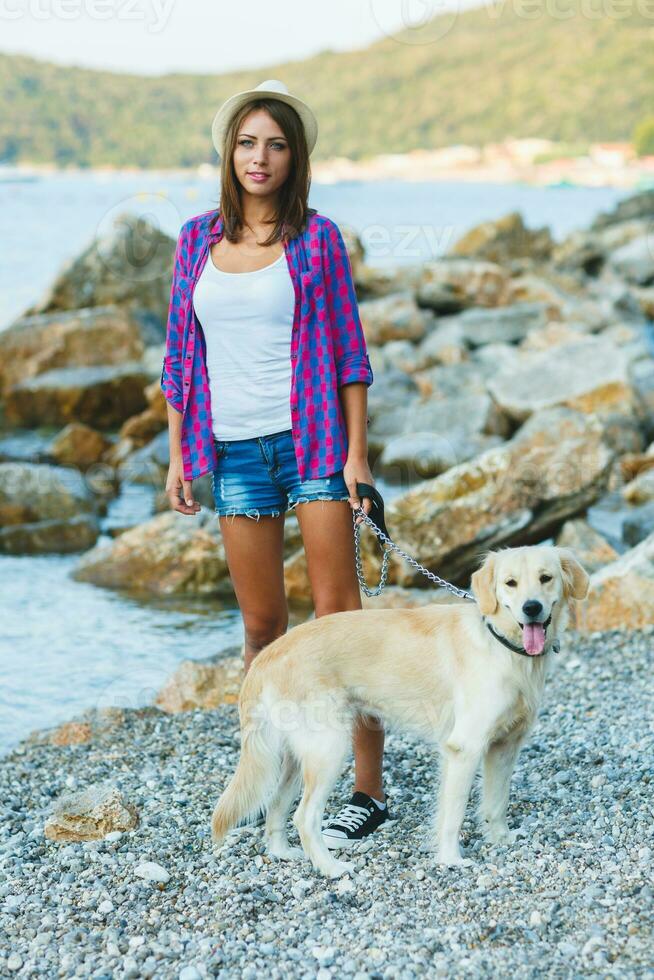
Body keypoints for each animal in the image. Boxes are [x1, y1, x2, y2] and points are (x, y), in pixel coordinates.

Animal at [213, 544, 592, 880]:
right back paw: (330, 868)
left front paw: (500, 838)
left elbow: (495, 802)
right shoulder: (465, 748)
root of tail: (268, 655)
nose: (532, 608)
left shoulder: (504, 746)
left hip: (296, 756)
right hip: (329, 748)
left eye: (545, 578)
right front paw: (451, 859)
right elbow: (453, 814)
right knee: (304, 817)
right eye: (510, 583)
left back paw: (283, 853)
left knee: (278, 806)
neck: (500, 643)